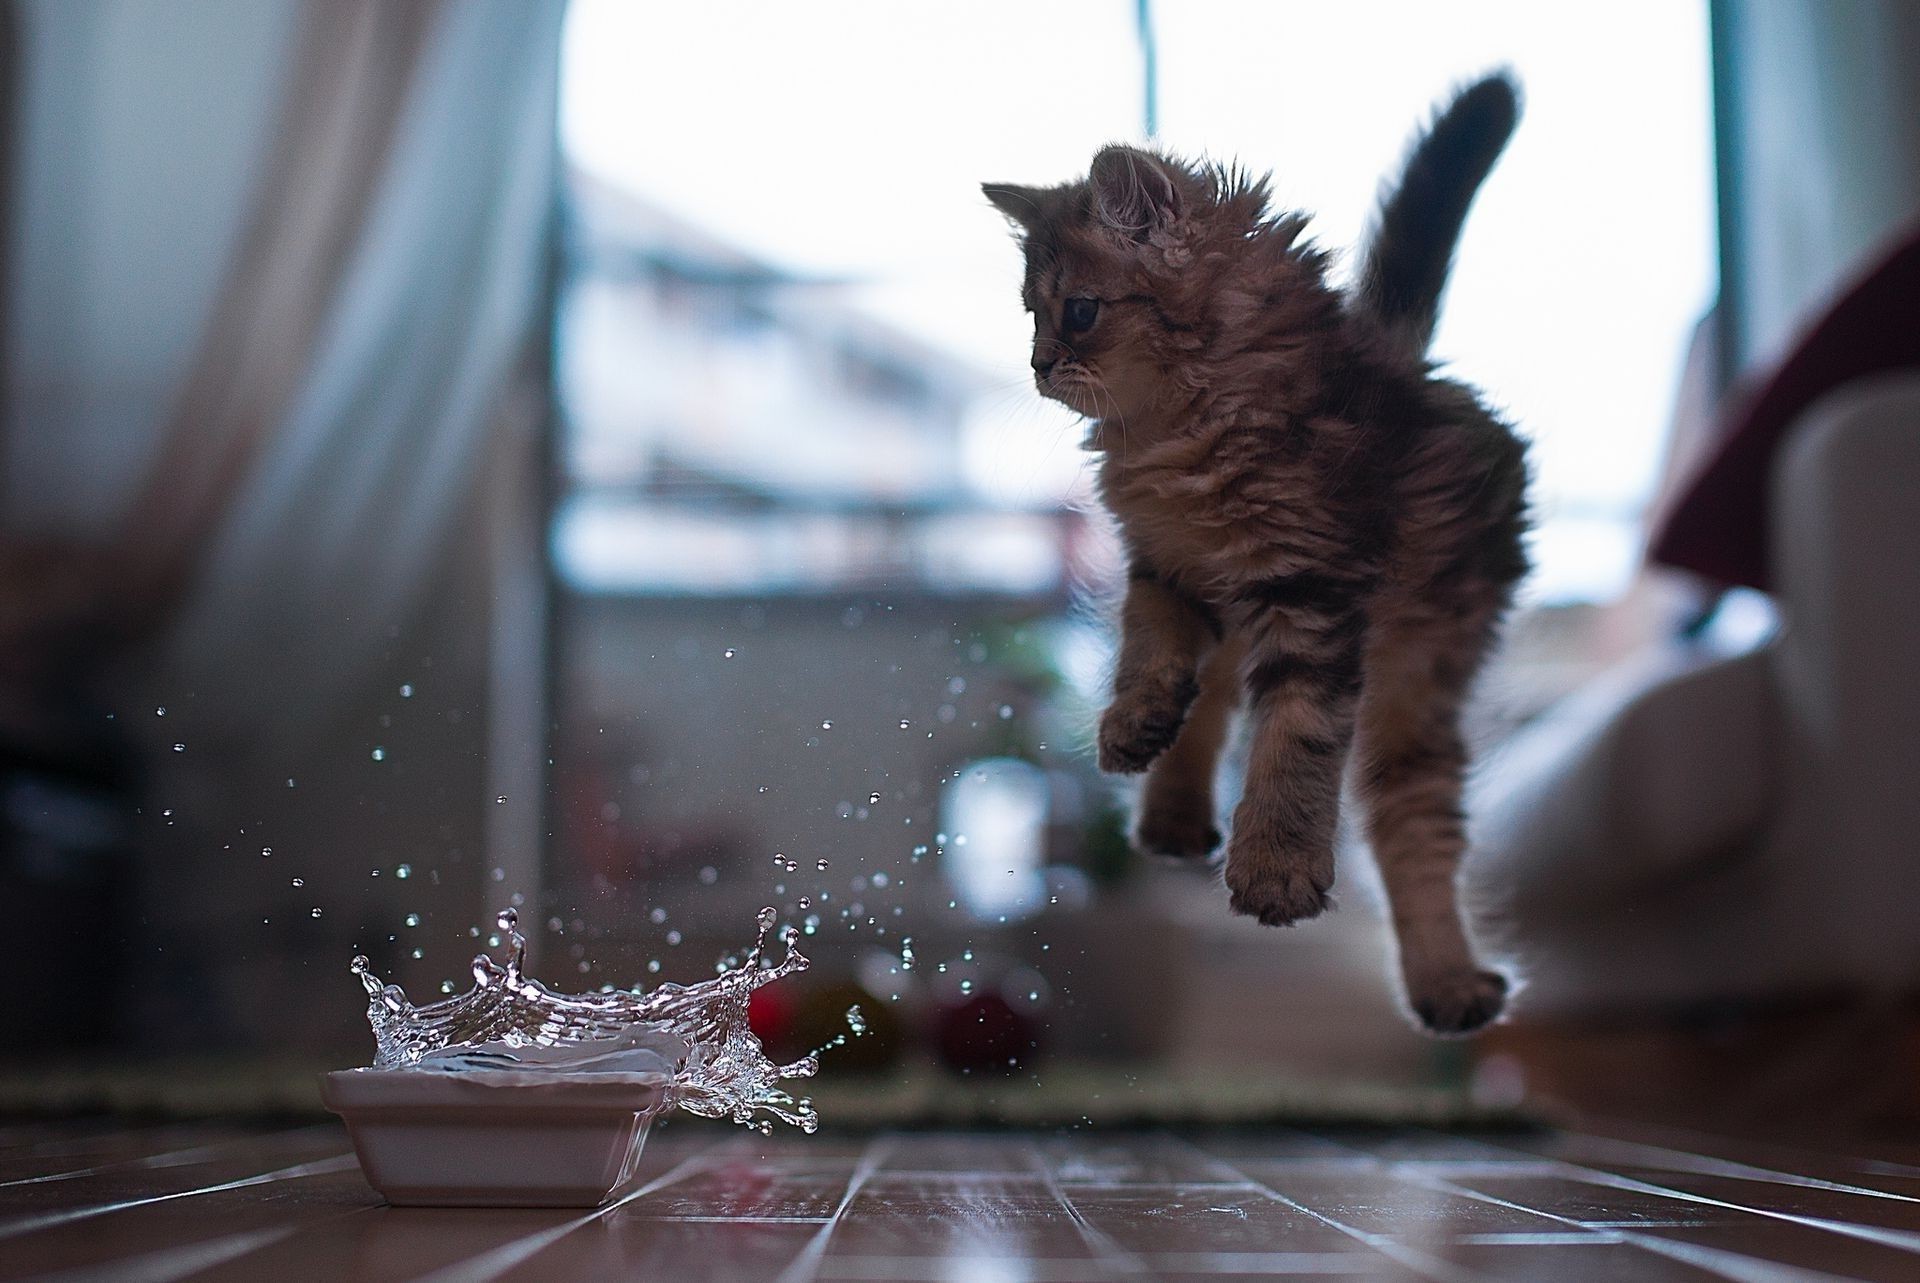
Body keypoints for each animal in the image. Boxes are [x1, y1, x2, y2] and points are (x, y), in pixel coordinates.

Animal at [990, 75, 1528, 1029]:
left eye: (1078, 313)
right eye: (1031, 316)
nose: (1039, 364)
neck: (1180, 431)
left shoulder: (1310, 590)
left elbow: (1293, 740)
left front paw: (1276, 868)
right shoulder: (1164, 566)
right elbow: (1149, 652)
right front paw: (1133, 721)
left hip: (1419, 678)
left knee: (1410, 822)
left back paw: (1447, 982)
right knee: (1211, 702)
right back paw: (1169, 811)